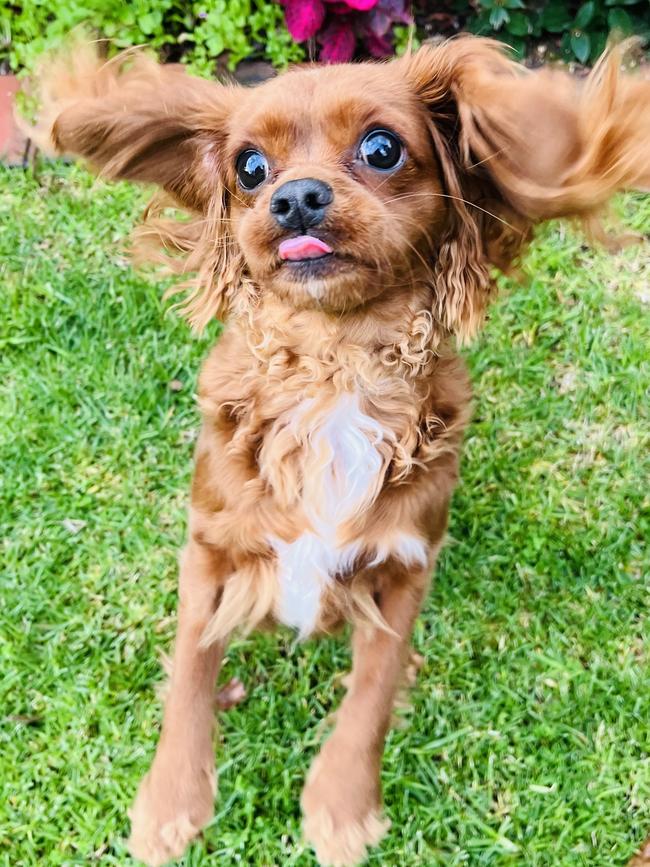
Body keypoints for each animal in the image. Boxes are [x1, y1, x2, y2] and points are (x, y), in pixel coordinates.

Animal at [34, 35, 648, 867]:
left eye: (382, 148)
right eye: (249, 167)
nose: (295, 198)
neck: (335, 365)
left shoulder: (406, 564)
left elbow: (374, 687)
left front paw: (342, 804)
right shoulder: (210, 548)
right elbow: (192, 665)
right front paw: (170, 803)